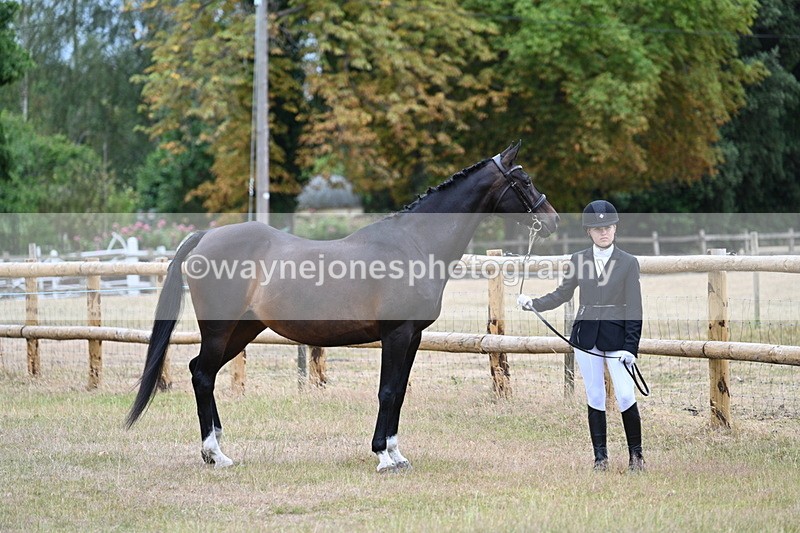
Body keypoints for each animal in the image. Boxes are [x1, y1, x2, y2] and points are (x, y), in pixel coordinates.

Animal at [126, 141, 559, 472]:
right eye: (523, 180)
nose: (552, 219)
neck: (414, 243)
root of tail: (204, 237)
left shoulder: (413, 337)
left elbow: (399, 393)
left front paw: (397, 454)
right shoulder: (396, 334)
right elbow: (388, 391)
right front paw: (383, 456)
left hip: (243, 330)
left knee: (203, 372)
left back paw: (216, 449)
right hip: (219, 329)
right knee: (202, 375)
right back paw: (215, 454)